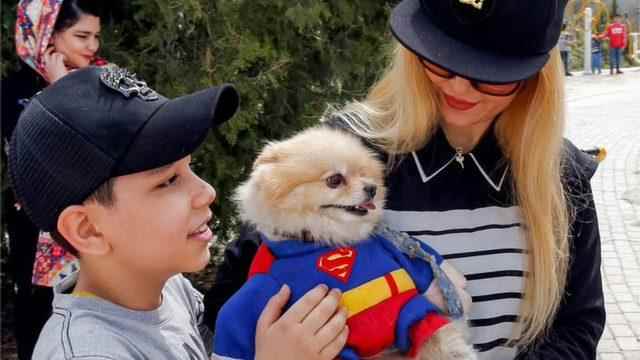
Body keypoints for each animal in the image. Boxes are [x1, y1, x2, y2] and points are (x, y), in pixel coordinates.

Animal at [215, 126, 476, 360]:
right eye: (335, 180)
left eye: (364, 174)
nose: (371, 188)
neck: (328, 242)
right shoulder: (265, 281)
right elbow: (237, 314)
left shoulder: (390, 251)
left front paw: (459, 290)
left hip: (413, 313)